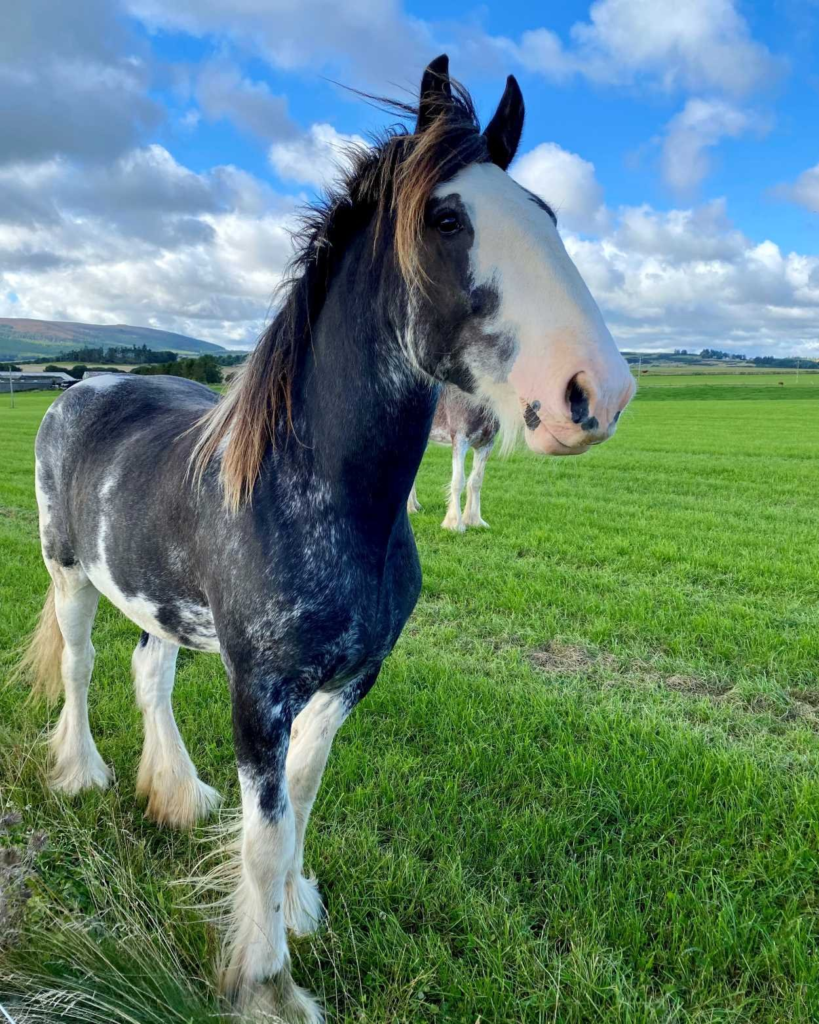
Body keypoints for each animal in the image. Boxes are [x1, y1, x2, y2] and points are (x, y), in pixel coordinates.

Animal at [407, 386, 499, 530]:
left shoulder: (485, 445)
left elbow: (476, 482)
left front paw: (475, 521)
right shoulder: (460, 441)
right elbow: (458, 481)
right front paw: (455, 524)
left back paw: (414, 506)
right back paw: (410, 509)